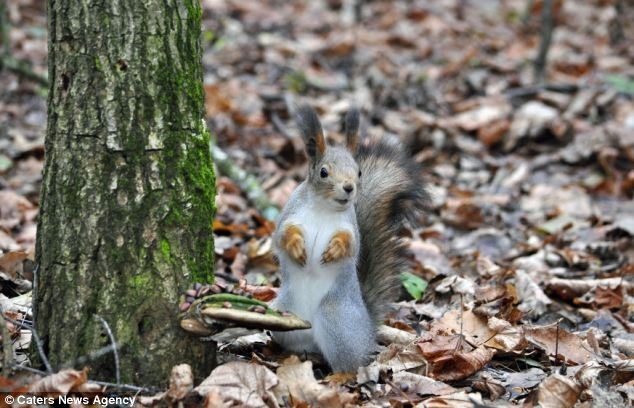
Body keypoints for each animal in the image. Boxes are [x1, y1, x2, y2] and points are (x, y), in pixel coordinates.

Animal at [270, 105, 428, 372]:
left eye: (359, 172)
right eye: (323, 172)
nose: (348, 187)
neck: (324, 208)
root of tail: (367, 329)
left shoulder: (350, 228)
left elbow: (351, 245)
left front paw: (334, 250)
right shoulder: (289, 215)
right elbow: (281, 237)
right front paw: (296, 246)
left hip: (335, 319)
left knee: (350, 365)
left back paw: (339, 375)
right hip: (283, 316)